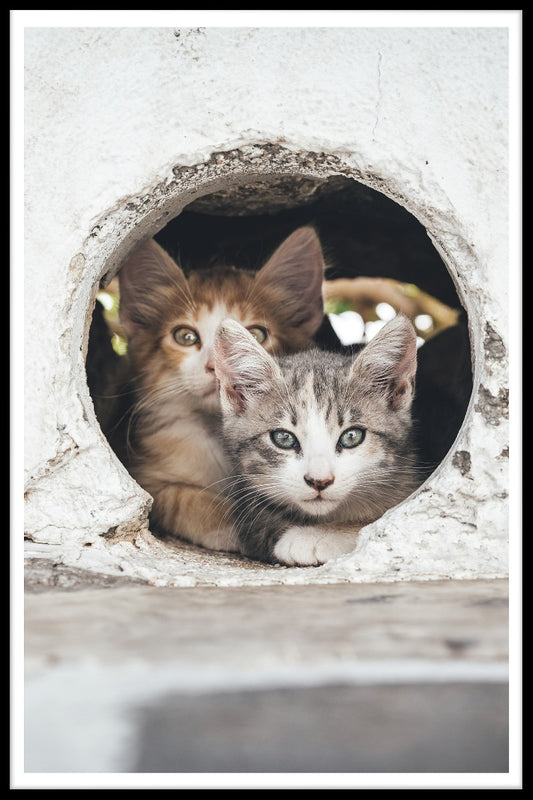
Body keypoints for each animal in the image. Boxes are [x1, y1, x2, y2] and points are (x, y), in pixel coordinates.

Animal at [115, 223, 326, 552]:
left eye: (256, 334)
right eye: (185, 336)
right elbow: (185, 498)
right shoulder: (147, 480)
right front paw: (230, 526)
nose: (218, 365)